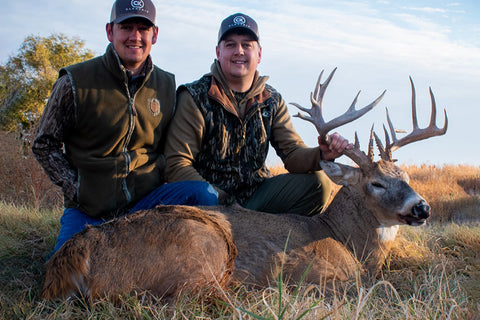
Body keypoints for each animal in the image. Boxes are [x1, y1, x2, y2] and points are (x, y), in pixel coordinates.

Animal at [43, 68, 448, 300]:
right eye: (377, 184)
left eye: (406, 178)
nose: (421, 207)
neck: (348, 244)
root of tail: (69, 259)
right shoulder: (320, 273)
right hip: (200, 247)